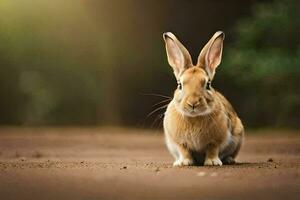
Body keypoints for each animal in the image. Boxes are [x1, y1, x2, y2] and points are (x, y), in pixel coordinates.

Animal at [163, 30, 245, 166]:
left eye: (208, 84)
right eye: (179, 85)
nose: (193, 103)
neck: (194, 117)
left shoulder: (216, 140)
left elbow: (212, 149)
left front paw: (212, 162)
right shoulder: (179, 142)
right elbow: (184, 150)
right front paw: (184, 162)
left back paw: (229, 160)